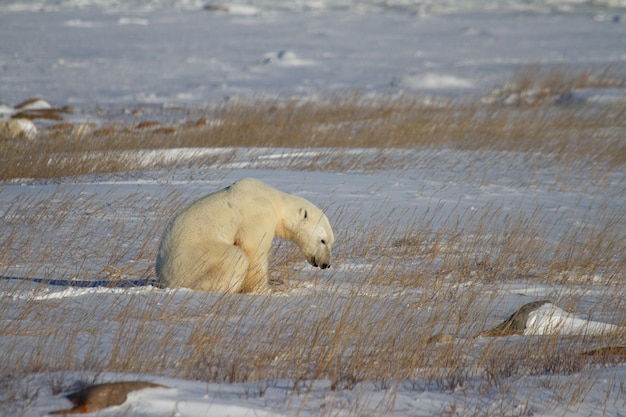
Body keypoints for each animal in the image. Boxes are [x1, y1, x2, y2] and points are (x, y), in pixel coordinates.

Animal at [154, 178, 334, 292]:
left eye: (331, 242)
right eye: (322, 240)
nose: (326, 264)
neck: (273, 199)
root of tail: (164, 276)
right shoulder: (257, 215)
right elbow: (253, 250)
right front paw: (264, 290)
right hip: (193, 260)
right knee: (235, 257)